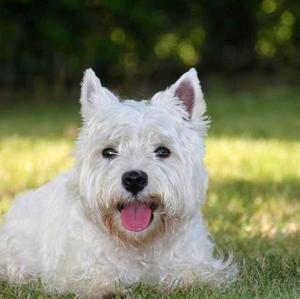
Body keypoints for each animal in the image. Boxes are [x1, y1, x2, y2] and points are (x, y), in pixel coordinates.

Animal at [0, 69, 237, 298]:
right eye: (108, 152)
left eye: (162, 151)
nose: (134, 179)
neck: (137, 243)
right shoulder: (72, 267)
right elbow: (90, 275)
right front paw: (104, 288)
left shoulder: (191, 255)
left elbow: (194, 271)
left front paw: (191, 281)